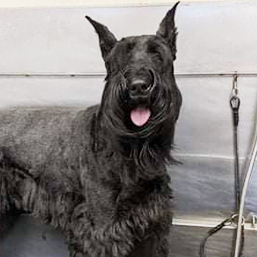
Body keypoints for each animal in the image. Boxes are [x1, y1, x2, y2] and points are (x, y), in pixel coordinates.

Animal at [0, 3, 181, 255]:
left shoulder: (152, 223)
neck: (132, 150)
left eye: (157, 53)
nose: (138, 86)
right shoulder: (103, 228)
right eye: (118, 58)